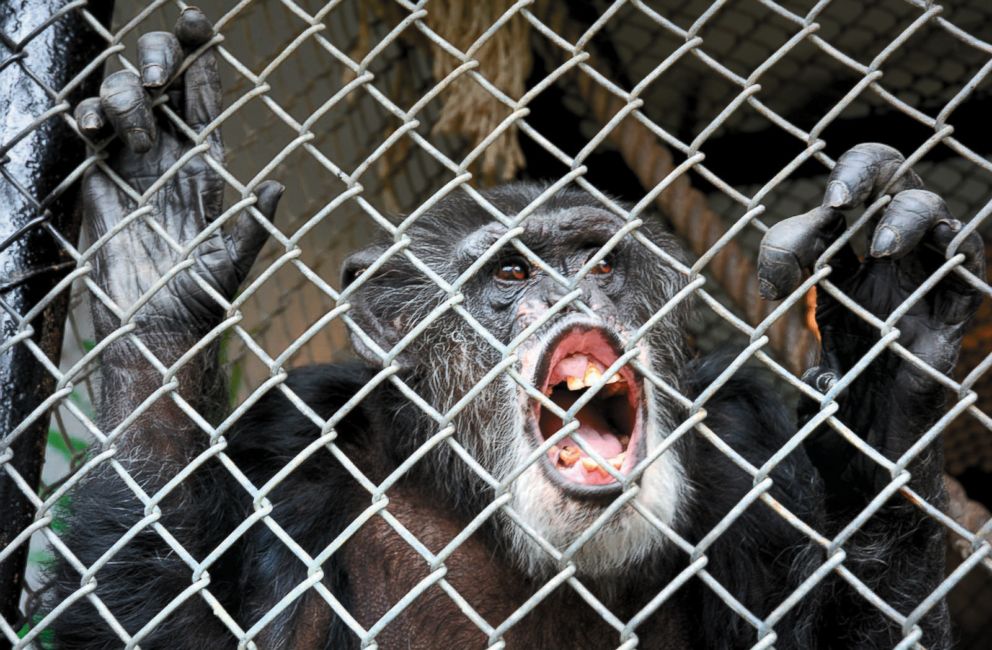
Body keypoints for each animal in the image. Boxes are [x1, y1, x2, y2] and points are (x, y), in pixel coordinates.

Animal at [40, 8, 984, 648]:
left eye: (599, 264)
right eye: (511, 275)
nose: (572, 296)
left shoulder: (750, 438)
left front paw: (888, 335)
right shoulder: (291, 445)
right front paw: (158, 251)